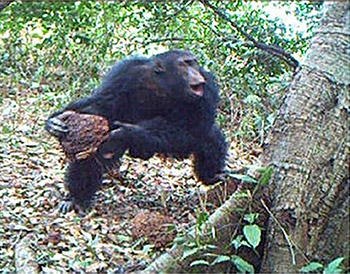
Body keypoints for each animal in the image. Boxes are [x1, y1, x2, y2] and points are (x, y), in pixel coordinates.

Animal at [45, 48, 227, 212]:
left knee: (210, 137)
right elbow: (102, 103)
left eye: (194, 63)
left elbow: (191, 127)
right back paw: (76, 199)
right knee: (89, 155)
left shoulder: (208, 87)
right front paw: (54, 121)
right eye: (185, 63)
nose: (195, 72)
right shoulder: (124, 72)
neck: (164, 84)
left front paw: (125, 133)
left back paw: (212, 175)